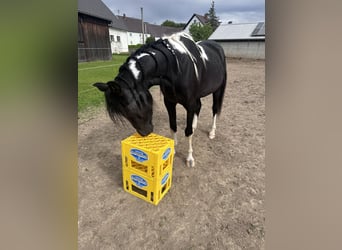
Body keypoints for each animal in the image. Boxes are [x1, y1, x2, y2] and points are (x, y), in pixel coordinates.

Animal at [94, 32, 227, 167]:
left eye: (129, 107)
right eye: (122, 112)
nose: (145, 133)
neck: (175, 67)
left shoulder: (189, 104)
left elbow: (188, 131)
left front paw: (190, 158)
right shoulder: (169, 102)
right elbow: (173, 126)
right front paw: (172, 150)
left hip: (218, 90)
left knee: (214, 109)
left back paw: (212, 132)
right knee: (199, 106)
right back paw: (195, 125)